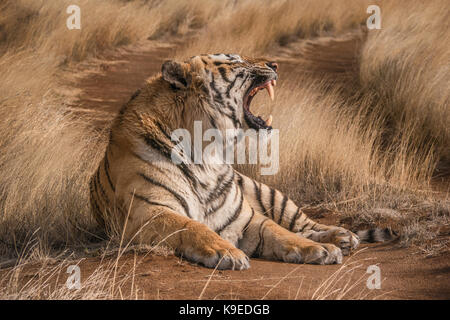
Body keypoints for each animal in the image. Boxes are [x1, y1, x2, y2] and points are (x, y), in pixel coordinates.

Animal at [89, 53, 364, 270]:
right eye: (234, 61)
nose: (275, 64)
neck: (205, 155)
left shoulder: (245, 217)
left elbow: (280, 231)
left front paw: (323, 250)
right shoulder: (149, 212)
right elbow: (194, 227)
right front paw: (227, 252)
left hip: (270, 194)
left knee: (303, 223)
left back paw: (342, 236)